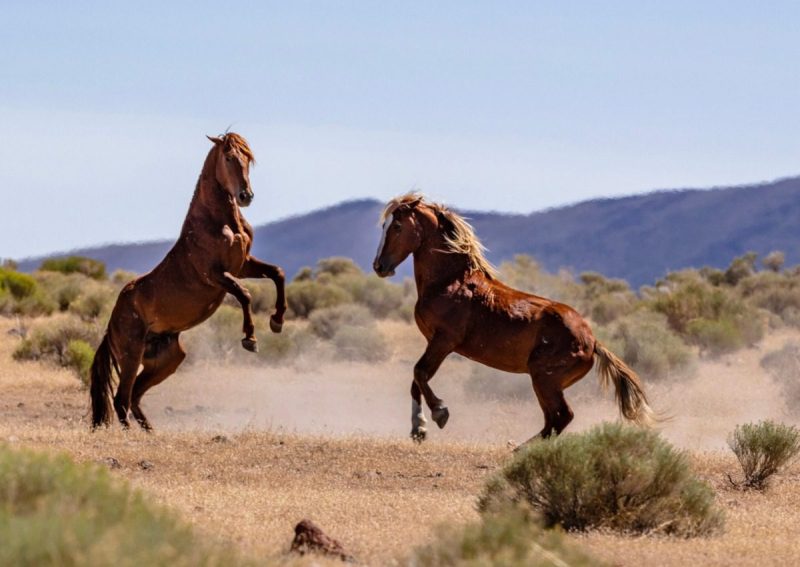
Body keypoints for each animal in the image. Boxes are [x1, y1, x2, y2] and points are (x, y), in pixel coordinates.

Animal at [90, 132, 287, 430]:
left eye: (248, 158)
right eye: (228, 157)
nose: (246, 196)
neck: (218, 221)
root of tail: (111, 326)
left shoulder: (243, 265)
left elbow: (277, 273)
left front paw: (277, 321)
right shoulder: (215, 275)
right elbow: (244, 293)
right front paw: (250, 339)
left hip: (167, 360)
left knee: (134, 396)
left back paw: (152, 433)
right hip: (131, 355)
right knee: (121, 398)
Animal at [372, 193, 655, 445]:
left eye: (397, 226)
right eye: (385, 225)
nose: (379, 266)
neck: (449, 282)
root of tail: (592, 341)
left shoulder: (444, 341)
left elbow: (419, 373)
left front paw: (440, 413)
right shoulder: (433, 341)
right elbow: (415, 381)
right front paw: (418, 429)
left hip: (544, 379)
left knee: (561, 417)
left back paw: (519, 451)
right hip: (546, 382)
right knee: (553, 420)